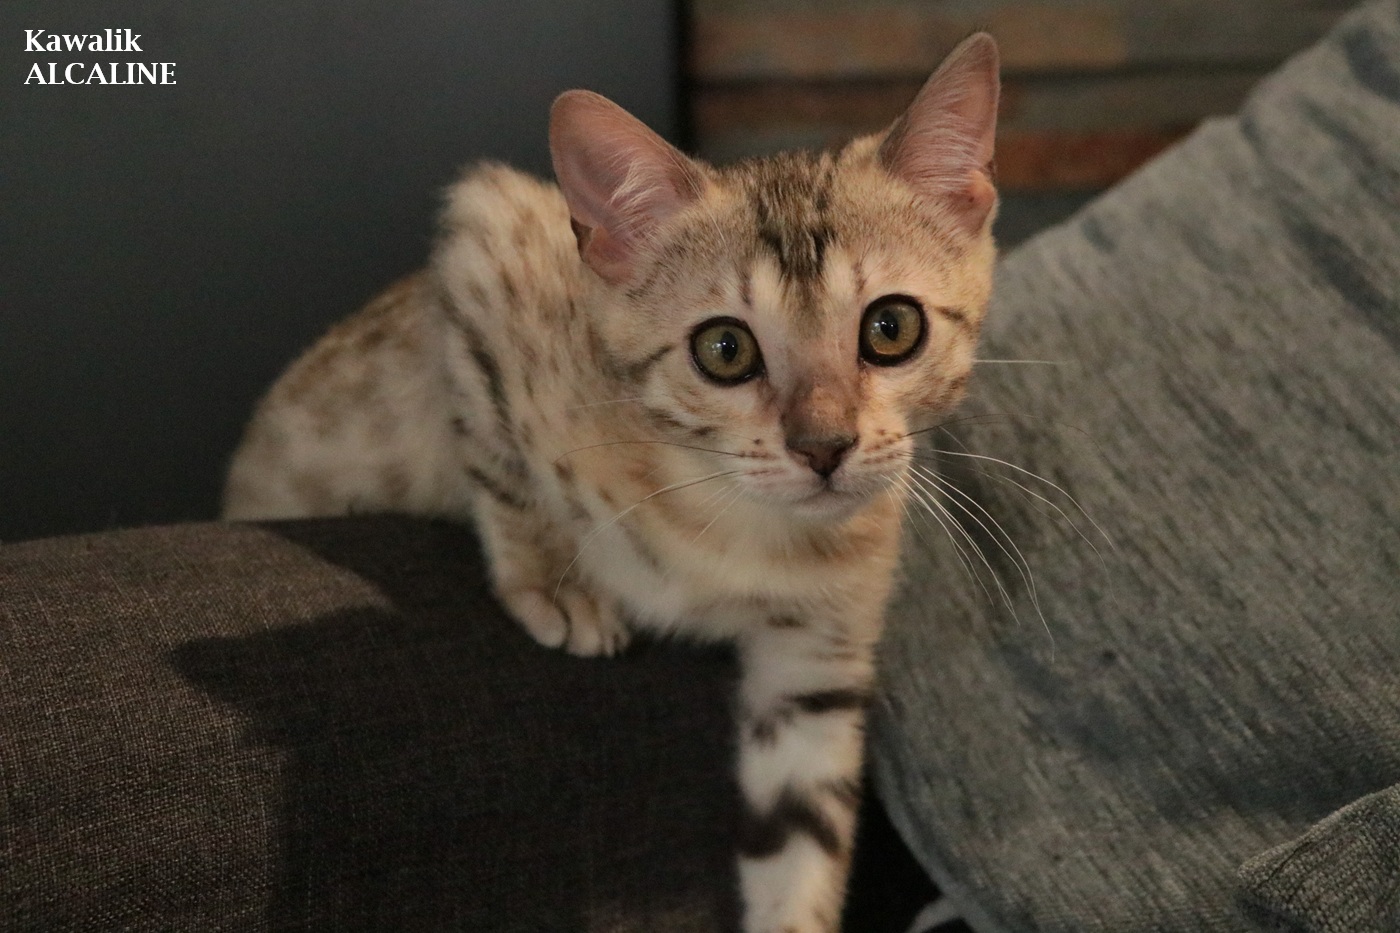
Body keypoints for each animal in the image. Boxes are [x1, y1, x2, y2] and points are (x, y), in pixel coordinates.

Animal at [223, 31, 1000, 933]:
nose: (824, 446)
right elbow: (498, 457)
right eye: (725, 348)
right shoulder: (481, 243)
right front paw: (553, 583)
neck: (740, 528)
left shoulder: (816, 667)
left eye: (892, 327)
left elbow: (799, 843)